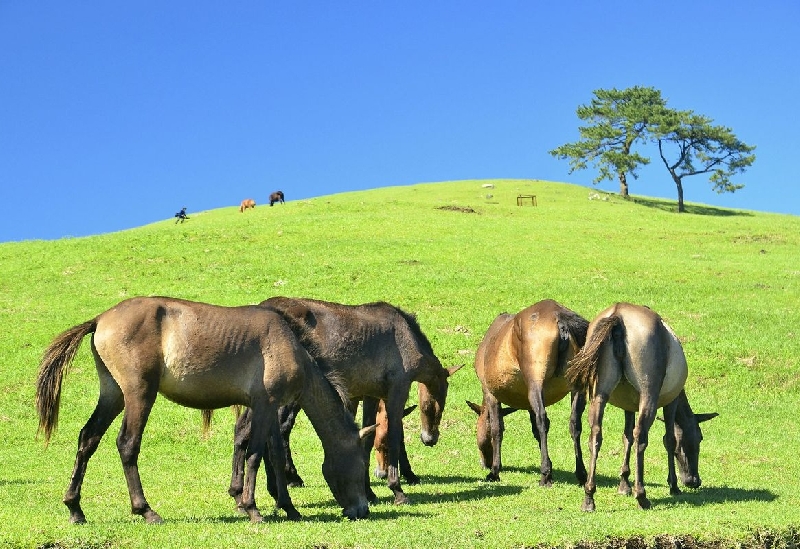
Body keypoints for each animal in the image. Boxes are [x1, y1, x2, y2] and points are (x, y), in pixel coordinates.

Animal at [36, 296, 374, 524]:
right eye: (360, 465)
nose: (362, 510)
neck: (291, 346)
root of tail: (100, 319)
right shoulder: (264, 405)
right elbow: (254, 455)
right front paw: (252, 508)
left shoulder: (271, 408)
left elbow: (275, 455)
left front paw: (289, 507)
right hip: (138, 394)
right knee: (127, 444)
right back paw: (146, 510)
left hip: (113, 395)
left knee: (87, 439)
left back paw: (75, 508)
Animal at [228, 296, 460, 506]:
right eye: (435, 405)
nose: (430, 438)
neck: (406, 336)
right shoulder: (397, 391)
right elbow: (394, 435)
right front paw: (397, 490)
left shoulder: (370, 394)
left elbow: (368, 437)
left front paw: (369, 492)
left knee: (243, 429)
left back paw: (244, 490)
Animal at [468, 300, 588, 484]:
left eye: (477, 429)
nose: (485, 463)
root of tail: (559, 317)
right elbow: (535, 431)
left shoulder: (490, 393)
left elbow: (497, 429)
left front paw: (495, 471)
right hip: (576, 387)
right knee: (574, 423)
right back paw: (581, 473)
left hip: (535, 383)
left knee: (543, 420)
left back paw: (544, 475)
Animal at [564, 302, 720, 512]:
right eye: (698, 438)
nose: (693, 480)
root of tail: (618, 317)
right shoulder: (670, 403)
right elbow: (669, 439)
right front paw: (673, 485)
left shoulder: (629, 405)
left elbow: (626, 437)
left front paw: (624, 483)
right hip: (649, 395)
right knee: (641, 437)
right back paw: (642, 496)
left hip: (599, 394)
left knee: (596, 434)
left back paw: (589, 496)